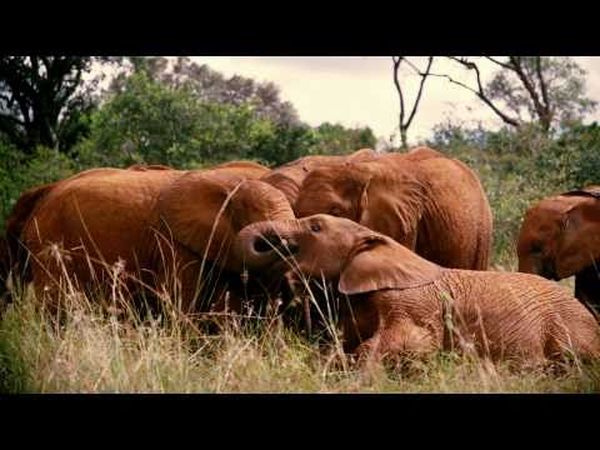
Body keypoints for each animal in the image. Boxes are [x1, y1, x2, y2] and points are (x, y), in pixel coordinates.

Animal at [5, 163, 292, 316]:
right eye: (256, 213)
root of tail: (43, 192)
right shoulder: (173, 244)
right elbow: (181, 305)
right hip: (50, 244)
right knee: (56, 308)